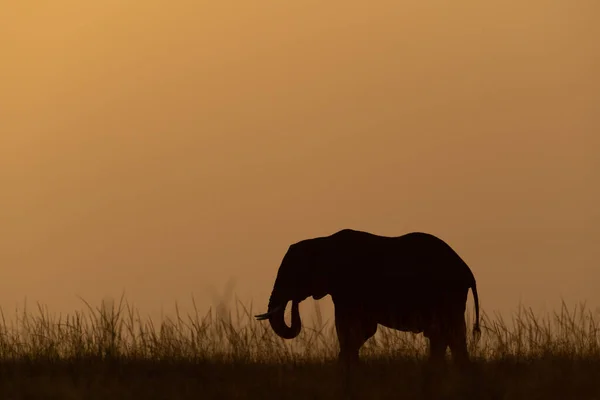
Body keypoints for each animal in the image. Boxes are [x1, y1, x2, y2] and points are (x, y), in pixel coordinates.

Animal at [255, 228, 480, 366]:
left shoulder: (349, 288)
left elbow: (350, 330)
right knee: (447, 336)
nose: (295, 301)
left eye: (293, 274)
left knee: (445, 334)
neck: (322, 242)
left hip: (447, 293)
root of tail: (468, 271)